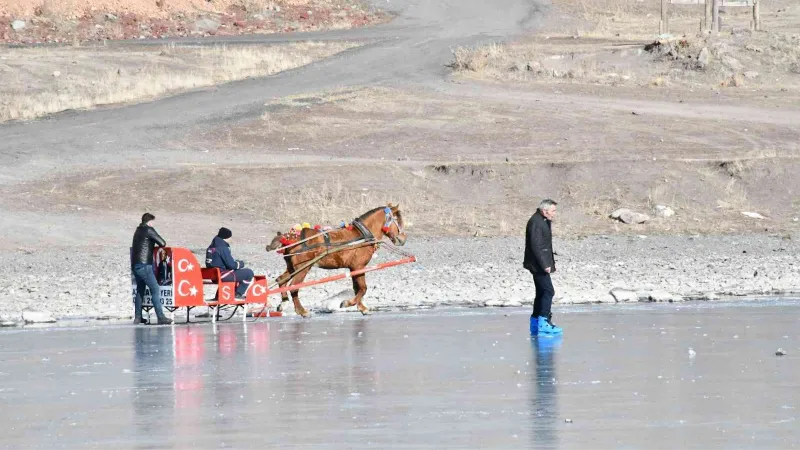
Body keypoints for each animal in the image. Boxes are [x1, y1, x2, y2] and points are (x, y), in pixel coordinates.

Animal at [268, 204, 406, 316]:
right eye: (397, 220)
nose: (403, 239)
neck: (362, 235)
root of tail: (289, 237)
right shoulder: (358, 266)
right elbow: (363, 288)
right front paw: (347, 303)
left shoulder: (353, 268)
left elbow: (357, 288)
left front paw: (362, 308)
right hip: (303, 268)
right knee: (293, 287)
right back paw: (302, 311)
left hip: (293, 267)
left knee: (281, 280)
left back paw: (284, 303)